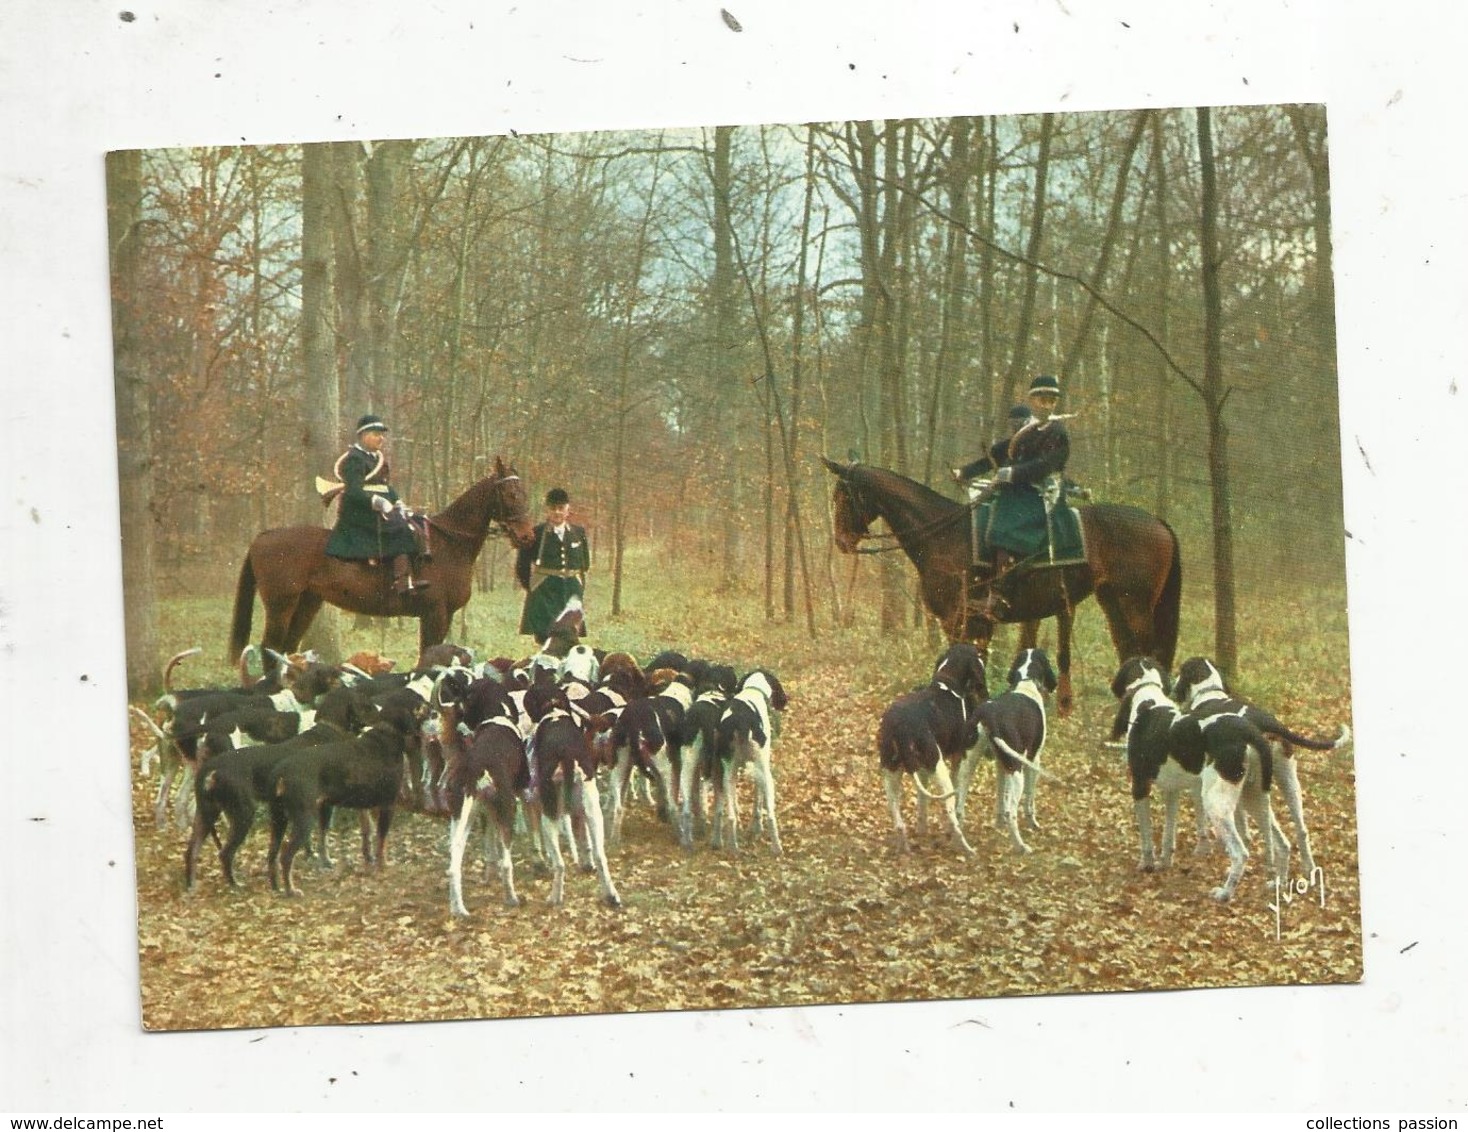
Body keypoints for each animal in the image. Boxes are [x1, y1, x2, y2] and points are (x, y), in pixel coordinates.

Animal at [226, 455, 531, 660]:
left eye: (524, 492)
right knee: (270, 650)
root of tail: (264, 536)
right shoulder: (434, 614)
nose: (527, 536)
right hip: (281, 605)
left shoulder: (440, 616)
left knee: (286, 649)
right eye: (511, 493)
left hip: (306, 604)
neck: (448, 543)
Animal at [822, 458, 1186, 707]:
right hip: (1112, 601)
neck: (944, 535)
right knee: (1128, 651)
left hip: (1135, 604)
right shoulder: (974, 623)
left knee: (1148, 652)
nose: (841, 541)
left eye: (844, 497)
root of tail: (1158, 523)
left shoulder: (957, 619)